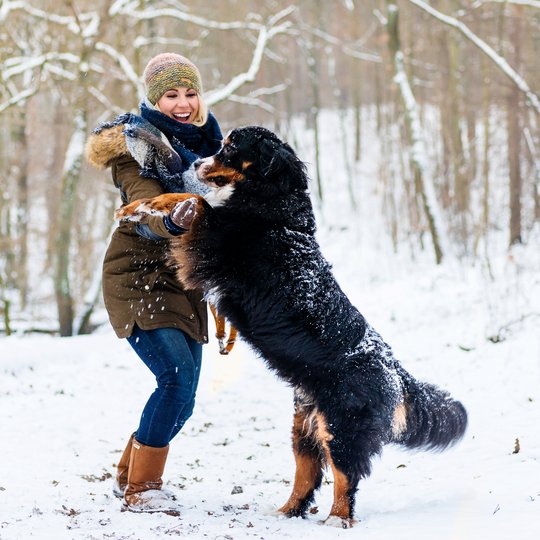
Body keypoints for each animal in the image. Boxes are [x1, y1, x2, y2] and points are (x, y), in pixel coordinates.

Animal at [116, 126, 466, 528]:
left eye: (231, 148)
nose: (197, 163)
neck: (272, 207)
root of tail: (395, 369)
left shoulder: (215, 239)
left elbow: (193, 199)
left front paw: (140, 206)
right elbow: (189, 197)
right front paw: (136, 207)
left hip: (342, 428)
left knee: (346, 477)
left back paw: (337, 519)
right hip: (304, 428)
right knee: (307, 475)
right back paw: (286, 511)